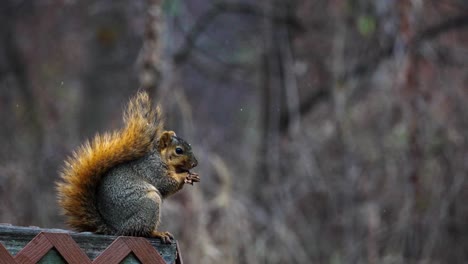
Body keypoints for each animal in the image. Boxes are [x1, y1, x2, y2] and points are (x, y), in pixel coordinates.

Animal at [56, 91, 199, 243]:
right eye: (179, 150)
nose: (195, 164)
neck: (160, 157)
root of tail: (116, 230)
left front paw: (191, 176)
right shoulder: (153, 169)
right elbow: (165, 183)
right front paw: (184, 176)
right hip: (150, 204)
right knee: (142, 231)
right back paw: (158, 233)